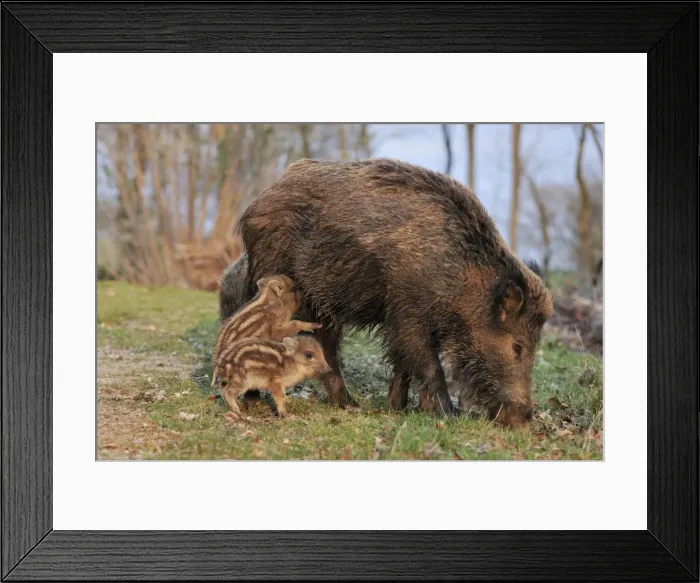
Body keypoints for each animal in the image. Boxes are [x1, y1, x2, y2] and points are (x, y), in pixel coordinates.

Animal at [228, 158, 552, 426]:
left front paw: (397, 408)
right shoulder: (408, 312)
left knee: (327, 347)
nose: (524, 420)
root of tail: (260, 199)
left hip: (324, 305)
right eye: (517, 346)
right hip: (271, 274)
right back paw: (255, 401)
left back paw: (348, 404)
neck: (462, 282)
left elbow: (404, 364)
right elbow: (429, 364)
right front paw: (448, 414)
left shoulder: (402, 322)